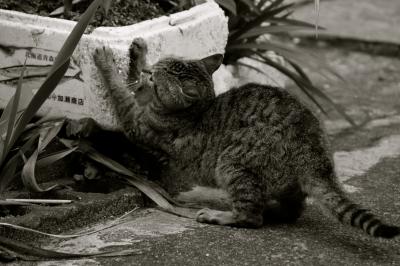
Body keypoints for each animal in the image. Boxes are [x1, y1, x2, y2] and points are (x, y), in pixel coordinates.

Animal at [92, 39, 400, 239]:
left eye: (160, 76)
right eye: (162, 64)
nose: (151, 72)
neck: (196, 108)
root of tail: (316, 152)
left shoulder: (137, 121)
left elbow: (121, 90)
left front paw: (107, 62)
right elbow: (132, 82)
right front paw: (139, 53)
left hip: (232, 163)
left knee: (251, 216)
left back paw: (219, 215)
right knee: (292, 209)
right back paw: (275, 210)